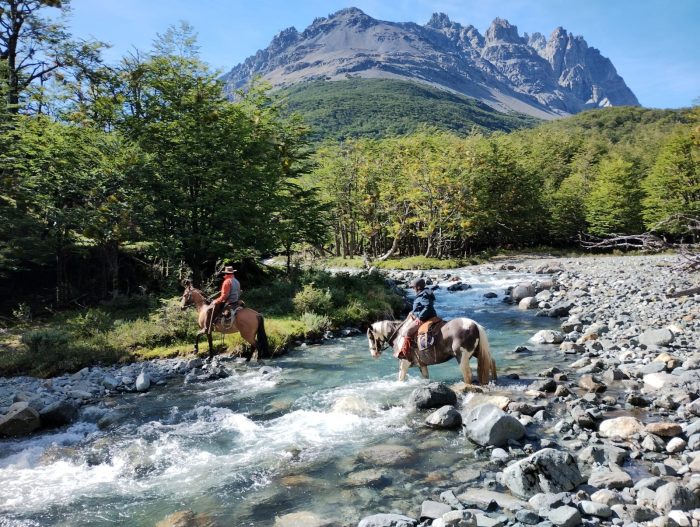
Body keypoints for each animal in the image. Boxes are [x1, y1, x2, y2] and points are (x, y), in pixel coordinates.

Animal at [366, 318, 498, 384]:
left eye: (370, 337)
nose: (374, 354)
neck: (399, 335)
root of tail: (475, 324)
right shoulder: (422, 364)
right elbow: (426, 377)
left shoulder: (404, 362)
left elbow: (401, 378)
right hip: (477, 352)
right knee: (491, 361)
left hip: (462, 357)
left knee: (468, 375)